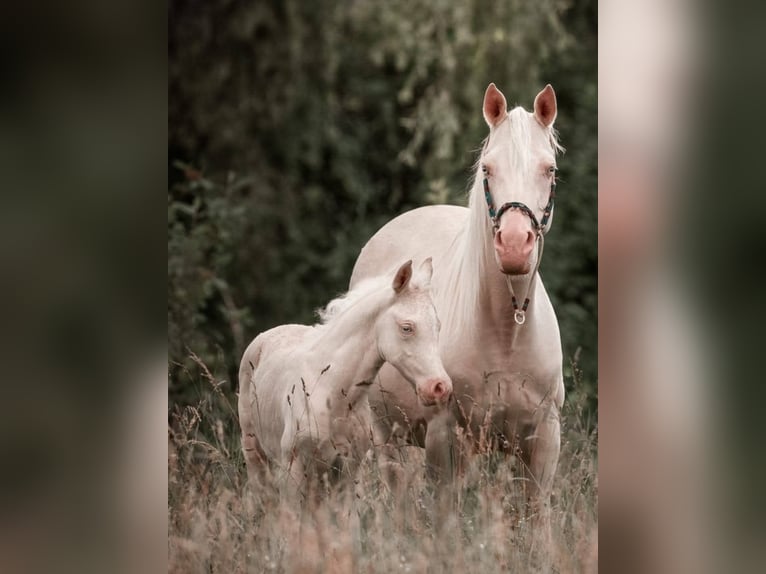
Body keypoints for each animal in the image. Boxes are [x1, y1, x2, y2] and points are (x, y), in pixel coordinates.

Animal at [237, 258, 452, 498]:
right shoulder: (292, 467)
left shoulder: (347, 469)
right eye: (407, 328)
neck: (331, 391)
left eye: (438, 326)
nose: (440, 387)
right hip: (255, 453)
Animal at [349, 83, 566, 546]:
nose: (515, 246)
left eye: (550, 170)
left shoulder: (542, 440)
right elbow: (446, 521)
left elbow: (537, 522)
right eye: (488, 169)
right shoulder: (445, 438)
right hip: (388, 437)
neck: (505, 334)